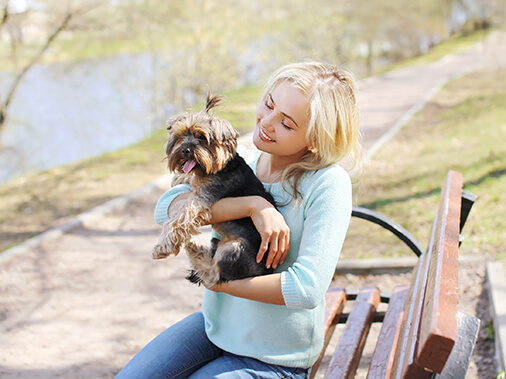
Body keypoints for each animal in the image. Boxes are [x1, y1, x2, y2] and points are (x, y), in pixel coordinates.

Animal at [152, 93, 274, 288]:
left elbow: (178, 219)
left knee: (213, 274)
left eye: (201, 137)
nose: (185, 150)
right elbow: (190, 178)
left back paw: (195, 253)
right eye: (180, 136)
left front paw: (162, 247)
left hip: (234, 248)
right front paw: (179, 177)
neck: (218, 167)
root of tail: (265, 271)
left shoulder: (201, 199)